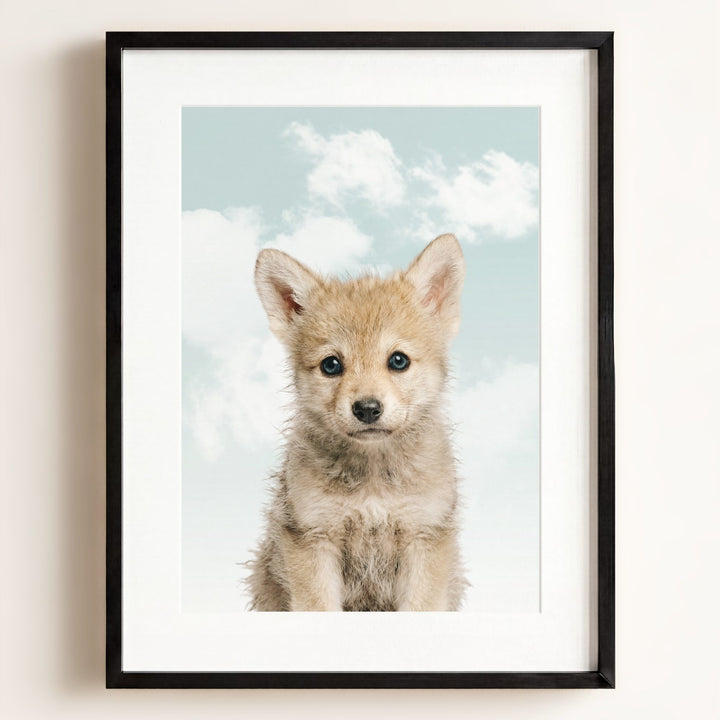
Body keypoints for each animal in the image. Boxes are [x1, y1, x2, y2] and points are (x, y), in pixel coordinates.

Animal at [246, 233, 466, 611]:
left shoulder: (424, 537)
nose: (367, 409)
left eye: (398, 360)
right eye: (331, 365)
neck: (373, 482)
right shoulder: (313, 538)